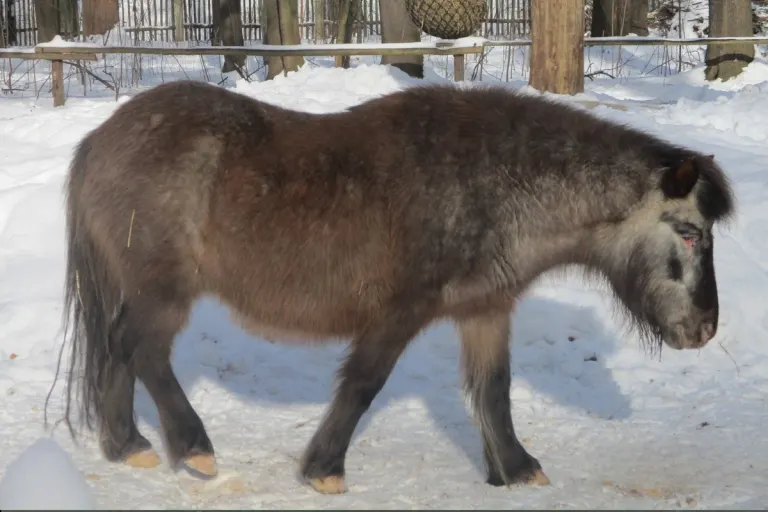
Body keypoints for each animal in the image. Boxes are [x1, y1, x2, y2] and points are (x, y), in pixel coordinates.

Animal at [52, 79, 735, 495]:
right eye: (690, 234)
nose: (704, 330)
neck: (491, 183)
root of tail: (100, 139)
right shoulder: (398, 313)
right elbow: (363, 385)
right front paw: (325, 469)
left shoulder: (485, 310)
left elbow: (494, 392)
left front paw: (514, 470)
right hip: (164, 289)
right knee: (142, 349)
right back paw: (191, 448)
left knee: (117, 347)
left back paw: (127, 445)